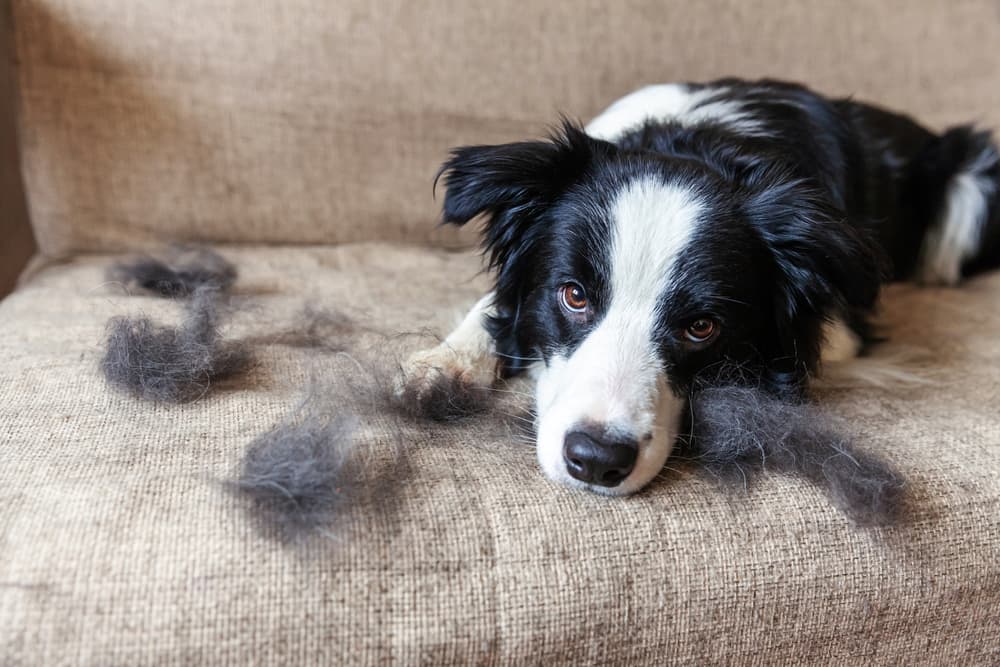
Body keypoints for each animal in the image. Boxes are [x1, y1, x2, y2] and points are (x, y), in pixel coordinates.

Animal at [398, 78, 1000, 496]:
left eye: (702, 327)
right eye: (574, 295)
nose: (596, 461)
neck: (697, 145)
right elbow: (495, 306)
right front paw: (445, 363)